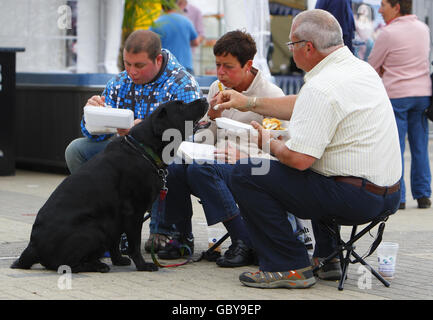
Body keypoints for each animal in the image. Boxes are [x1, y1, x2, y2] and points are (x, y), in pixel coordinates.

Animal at [9, 99, 206, 272]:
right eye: (180, 106)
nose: (204, 99)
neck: (144, 149)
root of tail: (32, 247)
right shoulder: (133, 211)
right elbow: (134, 244)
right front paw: (143, 265)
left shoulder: (116, 216)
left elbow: (115, 241)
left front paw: (118, 260)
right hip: (93, 229)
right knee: (65, 265)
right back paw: (97, 266)